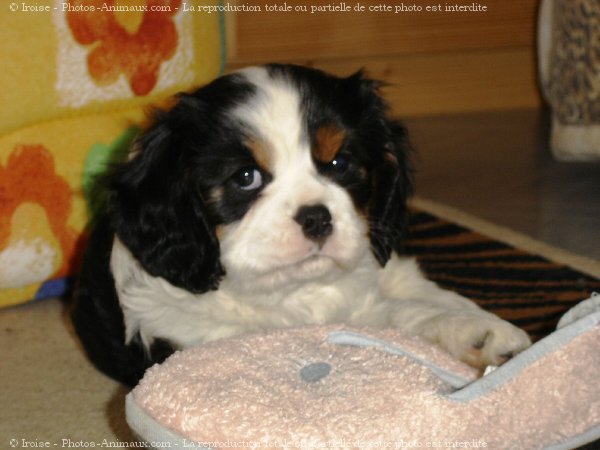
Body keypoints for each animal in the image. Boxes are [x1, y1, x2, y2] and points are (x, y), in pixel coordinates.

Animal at [71, 64, 528, 386]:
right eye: (246, 178)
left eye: (339, 163)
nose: (316, 217)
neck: (299, 290)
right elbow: (381, 323)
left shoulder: (387, 269)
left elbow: (415, 301)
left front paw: (482, 332)